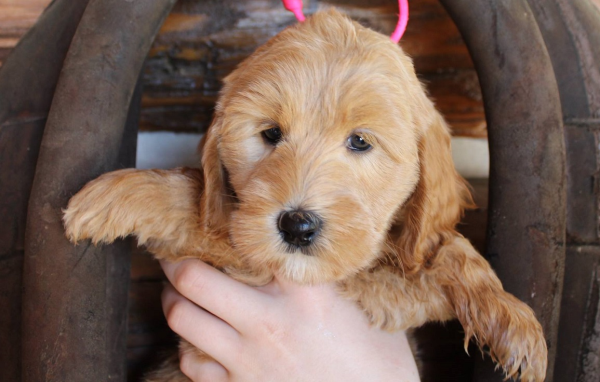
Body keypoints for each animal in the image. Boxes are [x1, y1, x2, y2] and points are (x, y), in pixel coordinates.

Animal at [63, 8, 548, 382]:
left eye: (360, 141)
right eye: (271, 134)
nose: (296, 226)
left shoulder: (374, 290)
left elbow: (448, 253)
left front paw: (512, 319)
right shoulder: (242, 248)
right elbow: (195, 200)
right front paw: (116, 194)